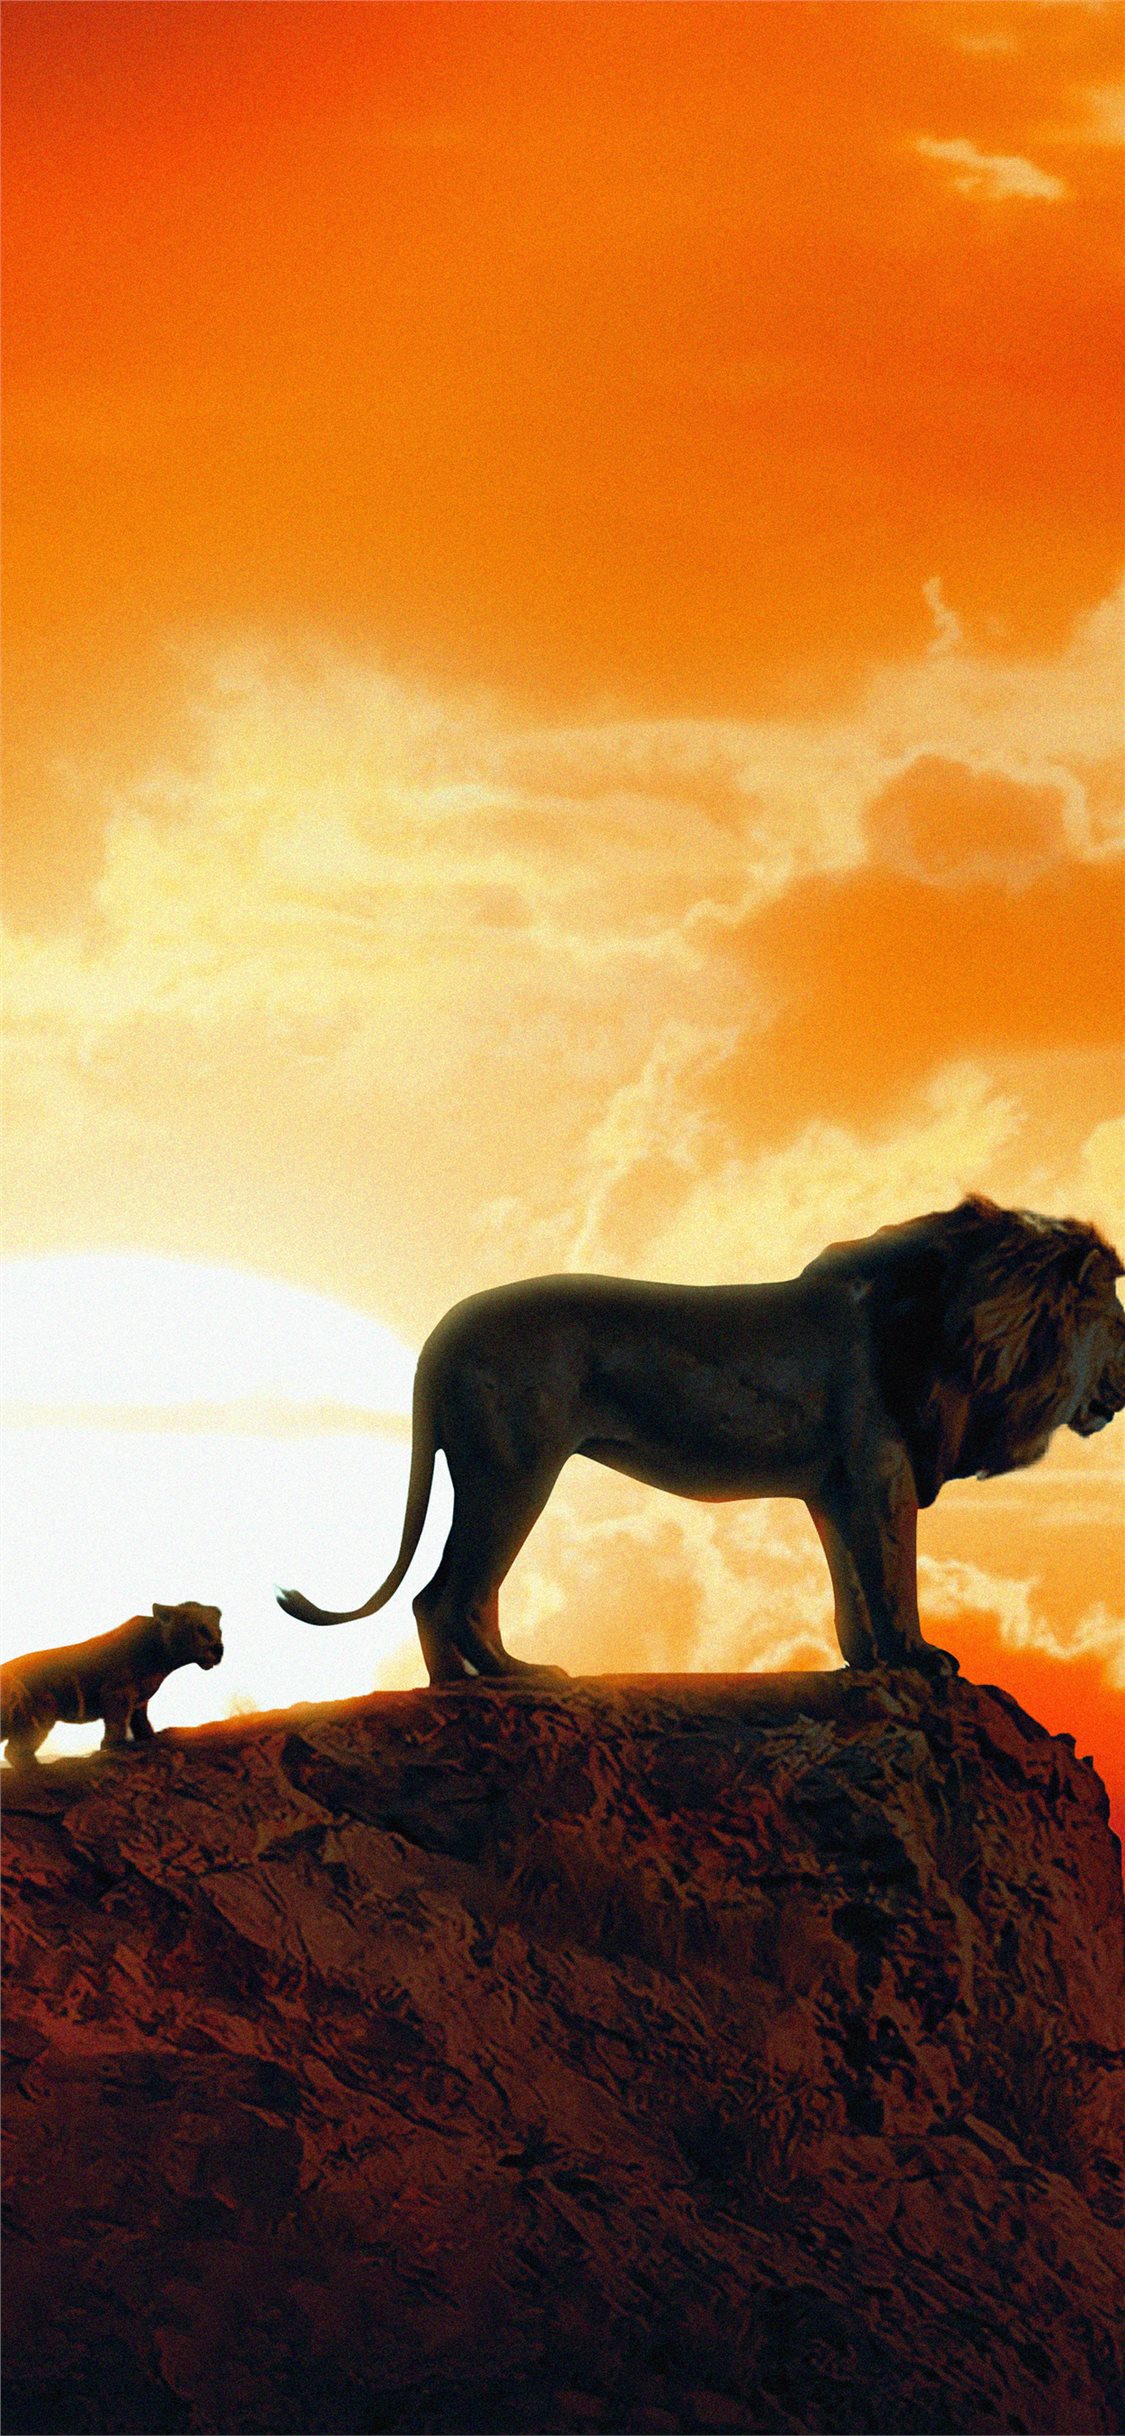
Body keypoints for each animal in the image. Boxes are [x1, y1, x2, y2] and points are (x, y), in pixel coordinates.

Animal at [0, 1602, 223, 1765]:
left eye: (220, 1630)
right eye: (202, 1630)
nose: (219, 1650)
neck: (159, 1652)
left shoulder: (140, 1701)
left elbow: (140, 1722)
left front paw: (149, 1738)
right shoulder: (117, 1695)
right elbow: (116, 1723)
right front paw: (114, 1747)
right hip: (39, 1718)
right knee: (14, 1751)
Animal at [277, 1199, 1125, 1684]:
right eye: (1117, 1320)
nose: (1120, 1388)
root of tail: (438, 1335)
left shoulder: (835, 1486)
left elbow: (850, 1581)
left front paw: (863, 1662)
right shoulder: (879, 1471)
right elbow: (891, 1576)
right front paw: (920, 1660)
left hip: (486, 1469)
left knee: (435, 1595)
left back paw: (461, 1687)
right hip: (513, 1468)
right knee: (453, 1592)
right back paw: (516, 1677)